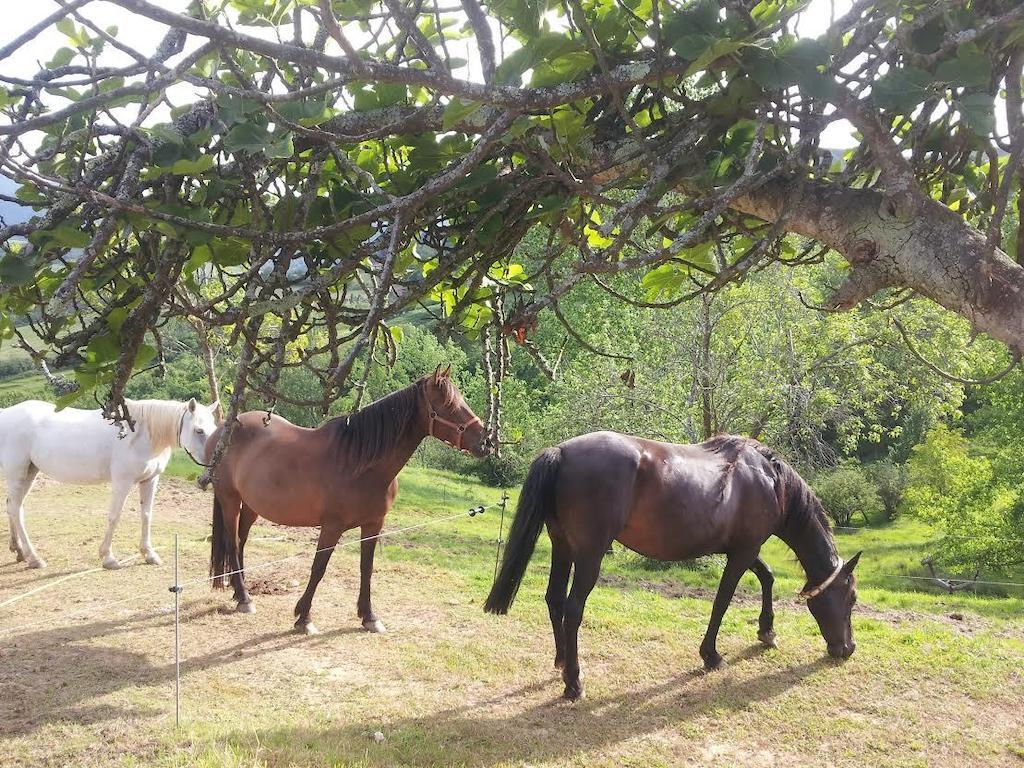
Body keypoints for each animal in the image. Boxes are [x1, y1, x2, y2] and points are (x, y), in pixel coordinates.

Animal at [1, 397, 218, 573]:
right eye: (199, 430)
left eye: (214, 429)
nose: (212, 462)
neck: (139, 433)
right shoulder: (122, 481)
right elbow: (114, 517)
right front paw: (108, 558)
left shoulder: (149, 481)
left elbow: (146, 516)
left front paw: (149, 554)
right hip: (16, 473)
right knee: (16, 509)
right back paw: (34, 558)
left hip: (29, 472)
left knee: (12, 506)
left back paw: (19, 551)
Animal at [206, 370, 487, 634]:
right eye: (448, 404)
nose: (486, 441)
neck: (361, 463)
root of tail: (222, 429)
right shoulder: (332, 527)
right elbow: (318, 568)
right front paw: (304, 618)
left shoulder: (373, 525)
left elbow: (366, 568)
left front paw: (369, 616)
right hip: (229, 499)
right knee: (232, 543)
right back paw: (244, 599)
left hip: (251, 505)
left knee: (241, 541)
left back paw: (239, 590)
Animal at [483, 434, 860, 704]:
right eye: (852, 598)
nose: (848, 649)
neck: (769, 480)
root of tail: (561, 450)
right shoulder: (743, 552)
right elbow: (722, 601)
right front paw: (711, 655)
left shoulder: (742, 549)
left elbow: (766, 577)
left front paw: (767, 631)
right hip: (589, 554)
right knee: (573, 608)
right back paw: (574, 683)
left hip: (563, 546)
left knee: (555, 599)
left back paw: (562, 663)